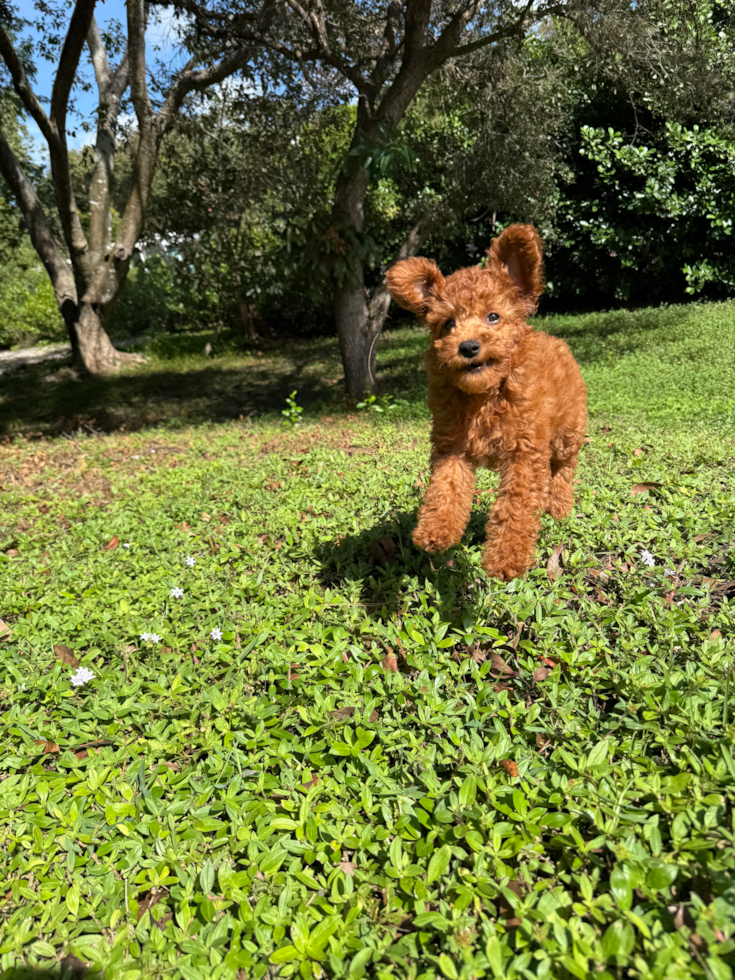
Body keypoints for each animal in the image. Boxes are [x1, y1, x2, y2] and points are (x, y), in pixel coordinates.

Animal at [386, 225, 588, 580]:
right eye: (448, 324)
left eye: (493, 316)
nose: (468, 347)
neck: (486, 393)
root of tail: (557, 342)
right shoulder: (452, 445)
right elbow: (446, 487)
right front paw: (436, 530)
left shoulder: (525, 451)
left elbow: (516, 506)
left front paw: (506, 558)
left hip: (568, 429)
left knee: (564, 466)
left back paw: (560, 506)